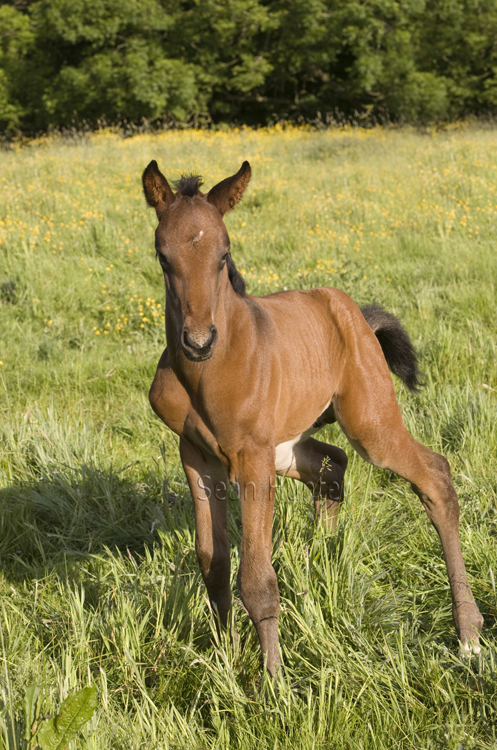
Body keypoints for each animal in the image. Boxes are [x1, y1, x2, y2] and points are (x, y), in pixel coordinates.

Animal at [141, 159, 482, 676]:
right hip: (291, 446)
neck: (209, 371)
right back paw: (323, 567)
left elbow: (257, 580)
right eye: (163, 257)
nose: (198, 341)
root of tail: (352, 312)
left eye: (224, 254)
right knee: (333, 466)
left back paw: (468, 635)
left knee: (434, 475)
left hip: (368, 421)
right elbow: (213, 564)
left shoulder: (253, 459)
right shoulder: (197, 458)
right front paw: (225, 661)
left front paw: (273, 683)